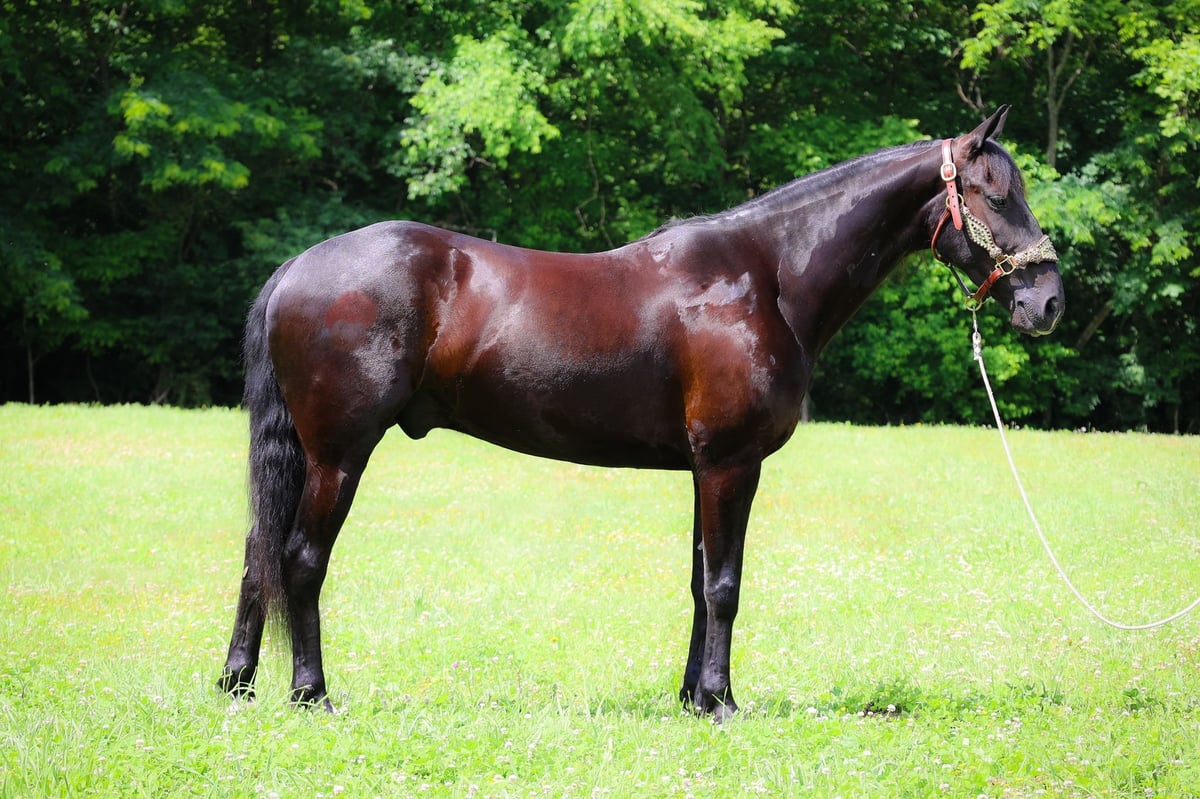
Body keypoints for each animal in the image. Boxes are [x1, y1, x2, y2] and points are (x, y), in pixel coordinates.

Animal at [218, 106, 1064, 720]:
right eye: (995, 193)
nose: (1048, 301)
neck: (766, 275)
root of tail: (297, 268)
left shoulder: (703, 466)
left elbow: (698, 581)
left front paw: (693, 695)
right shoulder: (730, 462)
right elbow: (724, 583)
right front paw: (721, 702)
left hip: (307, 454)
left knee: (259, 553)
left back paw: (239, 683)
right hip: (339, 453)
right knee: (301, 558)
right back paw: (311, 693)